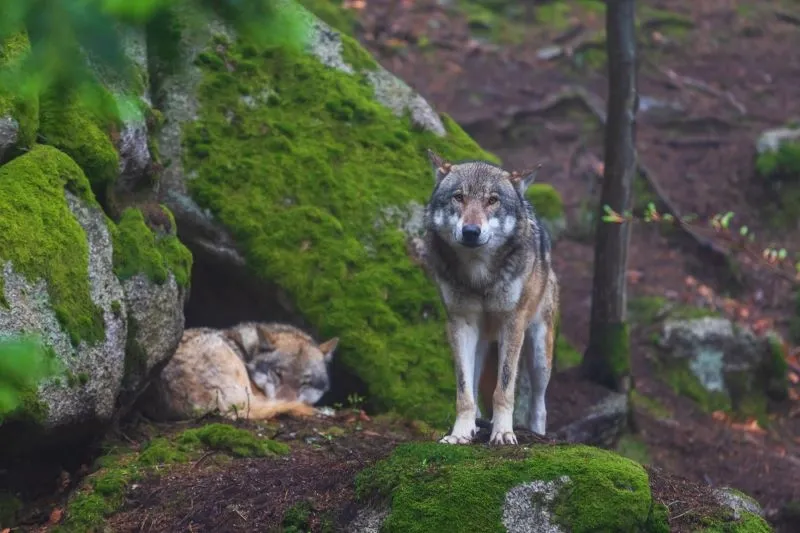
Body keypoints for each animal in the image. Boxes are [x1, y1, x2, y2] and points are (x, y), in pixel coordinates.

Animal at [422, 150, 560, 444]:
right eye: (459, 197)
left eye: (492, 200)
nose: (471, 231)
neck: (479, 278)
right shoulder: (460, 324)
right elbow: (464, 392)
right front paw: (459, 434)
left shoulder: (513, 323)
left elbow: (503, 389)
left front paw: (503, 433)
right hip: (480, 343)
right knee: (474, 388)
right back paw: (474, 426)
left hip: (539, 354)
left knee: (539, 404)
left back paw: (535, 433)